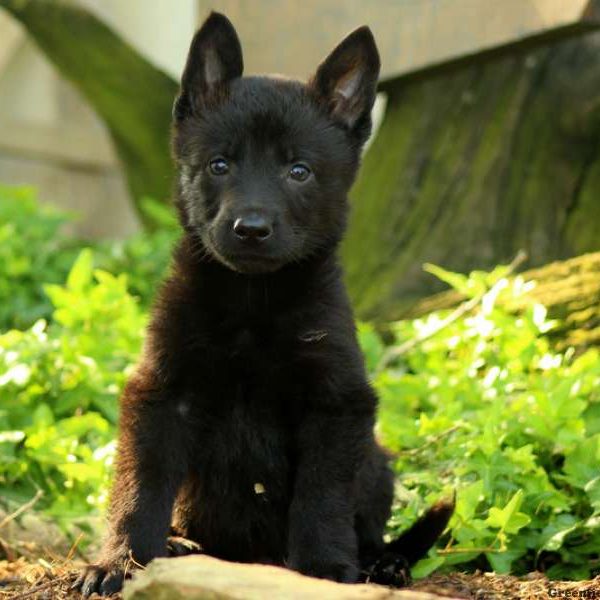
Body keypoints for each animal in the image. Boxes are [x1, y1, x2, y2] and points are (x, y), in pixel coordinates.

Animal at [74, 14, 450, 596]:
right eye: (219, 165)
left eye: (299, 171)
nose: (250, 228)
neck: (253, 303)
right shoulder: (162, 393)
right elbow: (141, 487)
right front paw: (120, 562)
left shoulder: (335, 403)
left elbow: (322, 496)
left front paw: (323, 566)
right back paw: (179, 544)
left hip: (377, 462)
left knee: (369, 526)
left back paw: (382, 562)